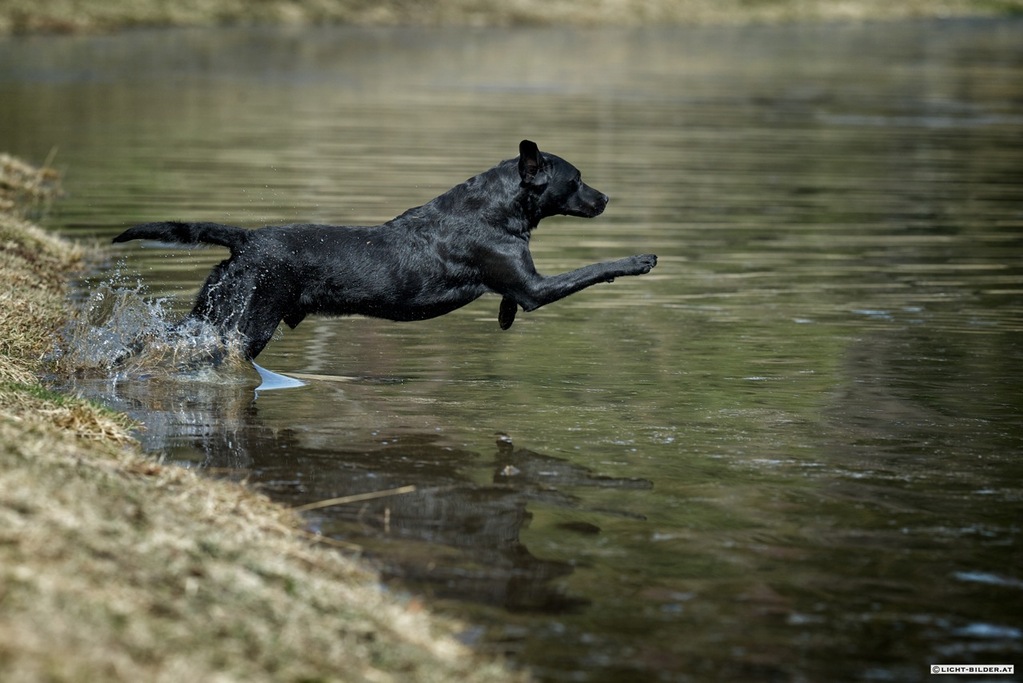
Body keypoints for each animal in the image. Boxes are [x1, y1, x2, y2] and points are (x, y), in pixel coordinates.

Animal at [112, 141, 654, 359]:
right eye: (577, 180)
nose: (606, 199)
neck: (494, 208)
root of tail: (248, 238)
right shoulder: (536, 288)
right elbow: (594, 268)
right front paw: (639, 259)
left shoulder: (521, 285)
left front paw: (503, 317)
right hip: (248, 321)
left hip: (213, 307)